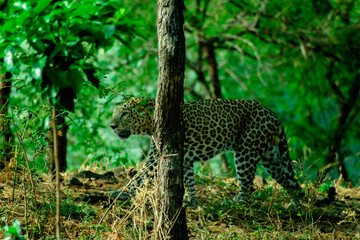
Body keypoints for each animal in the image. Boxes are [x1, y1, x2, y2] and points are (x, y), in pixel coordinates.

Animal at [108, 97, 302, 206]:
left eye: (124, 114)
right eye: (114, 113)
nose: (111, 126)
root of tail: (271, 113)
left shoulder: (157, 158)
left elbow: (138, 177)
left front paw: (119, 193)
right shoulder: (183, 158)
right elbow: (188, 180)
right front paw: (190, 200)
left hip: (246, 151)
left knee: (248, 187)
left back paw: (232, 203)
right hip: (271, 156)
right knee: (292, 182)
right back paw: (295, 205)